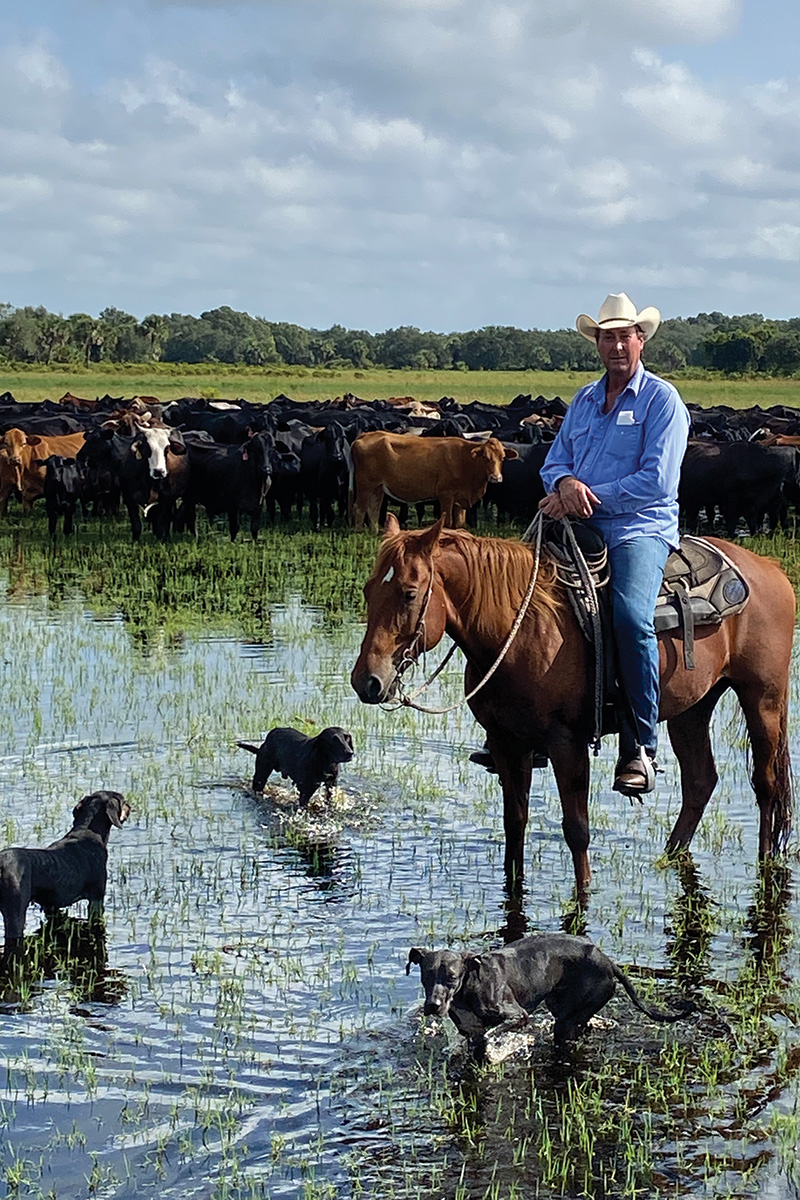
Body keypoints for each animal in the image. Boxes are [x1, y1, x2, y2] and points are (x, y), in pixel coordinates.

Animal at [0, 787, 130, 955]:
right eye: (123, 800)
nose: (131, 807)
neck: (88, 831)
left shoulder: (51, 905)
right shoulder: (96, 897)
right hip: (15, 911)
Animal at [352, 429, 520, 528]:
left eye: (502, 457)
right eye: (485, 457)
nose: (496, 477)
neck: (464, 459)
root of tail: (366, 435)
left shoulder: (460, 499)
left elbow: (459, 522)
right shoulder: (446, 494)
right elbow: (447, 521)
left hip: (377, 487)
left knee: (373, 509)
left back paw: (373, 532)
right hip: (364, 485)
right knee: (359, 508)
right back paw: (358, 532)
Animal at [352, 516, 796, 902]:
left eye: (409, 593)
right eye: (369, 589)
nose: (366, 681)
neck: (519, 630)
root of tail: (770, 570)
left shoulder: (566, 741)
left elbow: (577, 829)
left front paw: (584, 896)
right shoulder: (506, 741)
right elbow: (515, 822)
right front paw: (513, 886)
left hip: (763, 698)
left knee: (766, 783)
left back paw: (764, 863)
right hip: (694, 708)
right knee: (701, 781)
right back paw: (668, 858)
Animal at [407, 931, 695, 1056]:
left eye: (452, 977)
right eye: (426, 977)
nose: (433, 1006)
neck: (469, 987)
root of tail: (608, 961)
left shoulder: (518, 1016)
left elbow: (495, 1033)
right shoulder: (470, 1033)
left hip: (567, 1019)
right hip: (565, 1009)